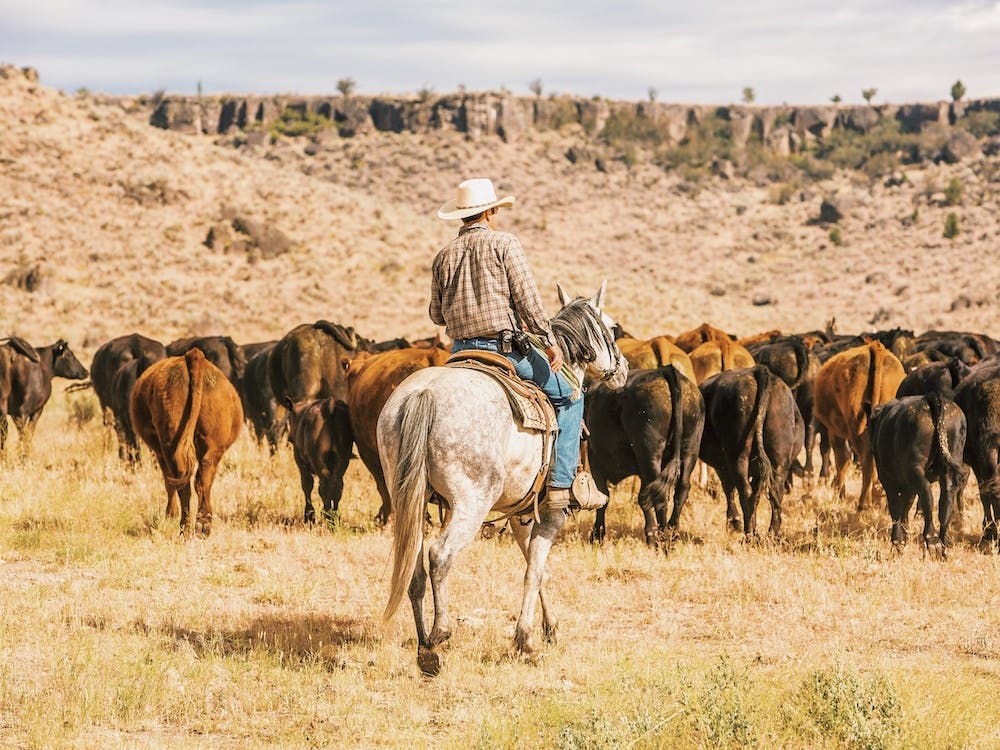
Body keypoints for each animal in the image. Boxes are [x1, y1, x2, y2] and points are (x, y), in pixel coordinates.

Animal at [130, 349, 243, 535]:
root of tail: (193, 355)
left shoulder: (159, 452)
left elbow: (169, 483)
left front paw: (170, 514)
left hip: (169, 444)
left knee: (182, 483)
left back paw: (185, 527)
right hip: (213, 447)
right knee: (202, 478)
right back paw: (203, 524)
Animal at [584, 365, 705, 546]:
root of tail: (666, 370)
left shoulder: (595, 457)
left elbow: (603, 496)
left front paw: (597, 535)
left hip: (650, 453)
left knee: (659, 497)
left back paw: (662, 538)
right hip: (689, 450)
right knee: (680, 490)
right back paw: (672, 532)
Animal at [698, 366, 803, 536]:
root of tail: (759, 371)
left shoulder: (722, 465)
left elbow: (729, 488)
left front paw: (734, 522)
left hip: (738, 456)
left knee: (745, 492)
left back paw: (749, 534)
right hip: (779, 459)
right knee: (775, 492)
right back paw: (773, 533)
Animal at [813, 341, 906, 510]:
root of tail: (875, 347)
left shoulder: (834, 431)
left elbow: (842, 460)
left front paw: (839, 492)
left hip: (856, 426)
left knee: (865, 456)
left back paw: (864, 503)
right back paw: (880, 497)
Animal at [869, 393, 968, 554]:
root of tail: (932, 397)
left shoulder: (888, 480)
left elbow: (895, 508)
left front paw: (898, 541)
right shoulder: (908, 486)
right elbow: (906, 506)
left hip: (916, 470)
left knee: (927, 495)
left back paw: (931, 539)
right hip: (950, 464)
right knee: (945, 500)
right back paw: (943, 542)